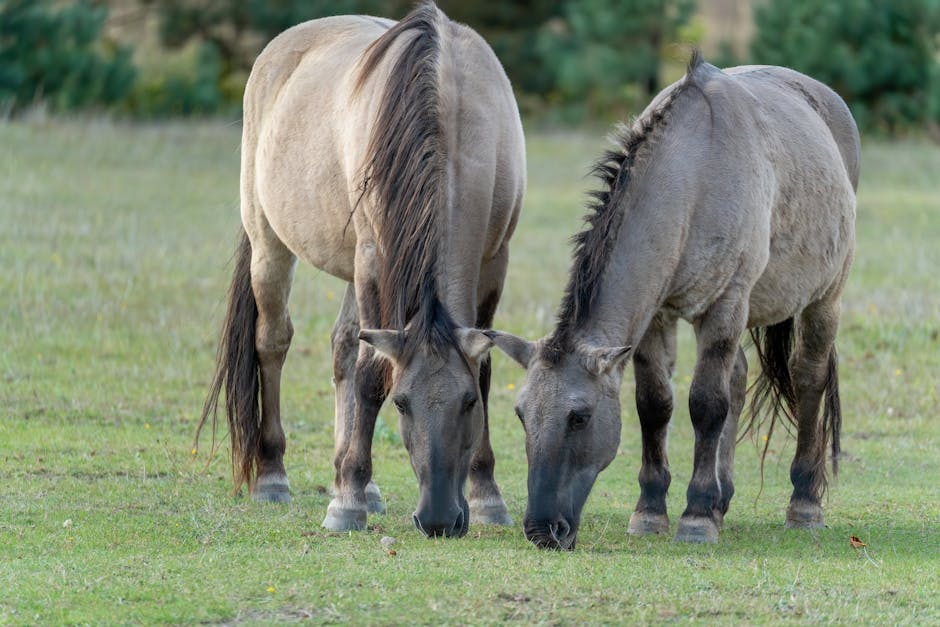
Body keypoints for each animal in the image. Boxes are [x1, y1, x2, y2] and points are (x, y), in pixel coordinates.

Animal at [196, 1, 524, 540]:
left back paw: (360, 482)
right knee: (273, 343)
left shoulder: (495, 260)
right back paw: (274, 475)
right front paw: (345, 502)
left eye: (468, 404)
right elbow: (372, 376)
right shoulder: (374, 258)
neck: (448, 106)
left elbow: (483, 369)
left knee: (344, 347)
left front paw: (486, 495)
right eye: (403, 403)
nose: (438, 519)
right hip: (270, 244)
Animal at [488, 51, 864, 548]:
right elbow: (655, 405)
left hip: (824, 298)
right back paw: (724, 499)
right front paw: (651, 511)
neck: (695, 175)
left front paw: (696, 516)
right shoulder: (656, 318)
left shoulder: (725, 306)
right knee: (738, 379)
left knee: (808, 380)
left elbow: (706, 404)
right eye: (521, 414)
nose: (543, 529)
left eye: (579, 417)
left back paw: (803, 503)